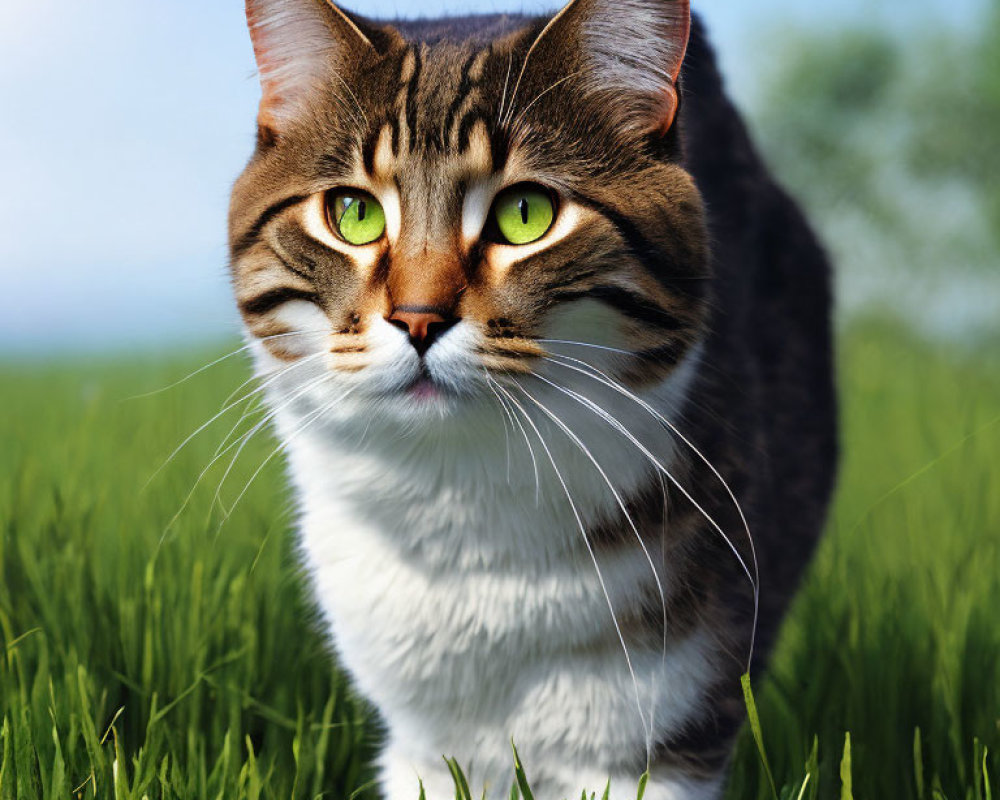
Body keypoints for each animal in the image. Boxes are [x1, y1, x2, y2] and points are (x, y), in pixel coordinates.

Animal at [227, 1, 836, 792]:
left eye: (526, 213)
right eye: (354, 213)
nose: (417, 318)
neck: (461, 510)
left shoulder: (654, 738)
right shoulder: (426, 745)